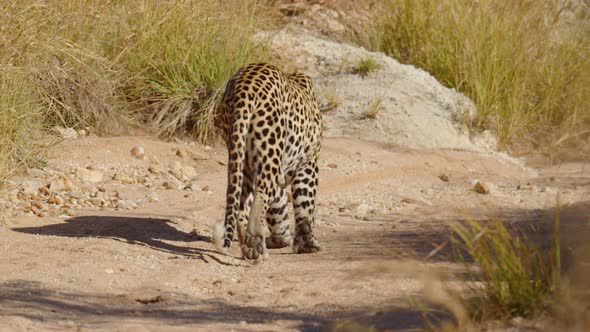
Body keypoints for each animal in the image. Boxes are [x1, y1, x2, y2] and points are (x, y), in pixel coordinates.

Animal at [213, 61, 324, 260]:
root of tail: (244, 87)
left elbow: (279, 207)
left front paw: (282, 238)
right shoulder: (308, 163)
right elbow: (305, 204)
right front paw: (308, 244)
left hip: (244, 157)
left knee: (242, 203)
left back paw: (250, 246)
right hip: (269, 153)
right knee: (261, 195)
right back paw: (254, 246)